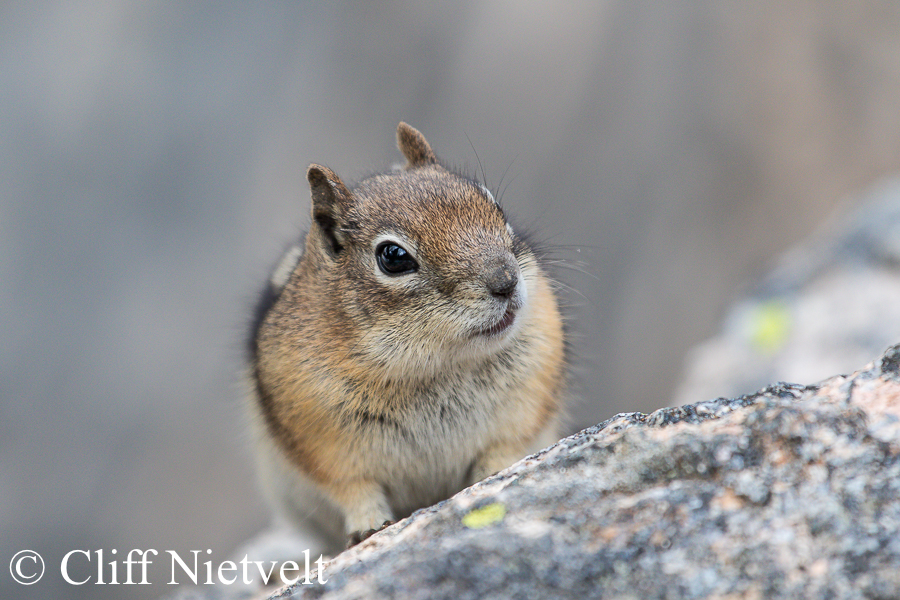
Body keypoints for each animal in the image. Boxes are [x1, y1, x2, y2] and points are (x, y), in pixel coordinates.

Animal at [248, 122, 566, 552]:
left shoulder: (524, 410)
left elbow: (502, 451)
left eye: (494, 205)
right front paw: (368, 524)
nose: (506, 281)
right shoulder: (325, 447)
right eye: (393, 256)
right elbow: (354, 488)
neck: (435, 366)